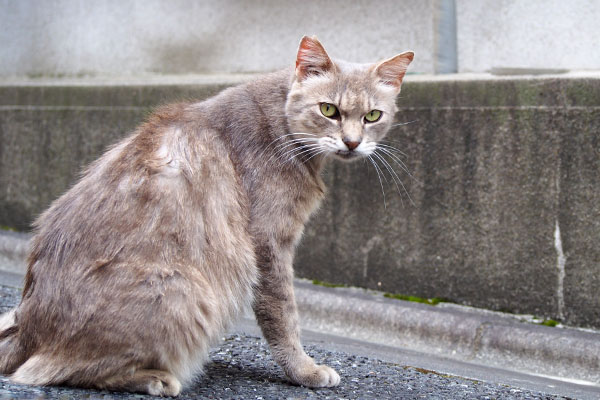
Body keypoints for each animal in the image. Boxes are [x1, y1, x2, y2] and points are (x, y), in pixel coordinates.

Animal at [0, 36, 412, 396]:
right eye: (329, 110)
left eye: (373, 116)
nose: (353, 142)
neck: (277, 121)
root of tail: (27, 327)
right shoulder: (268, 245)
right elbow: (284, 316)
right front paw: (305, 371)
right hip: (184, 290)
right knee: (48, 370)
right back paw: (155, 378)